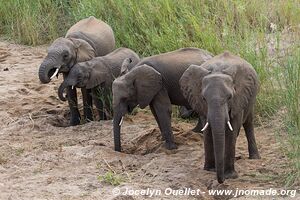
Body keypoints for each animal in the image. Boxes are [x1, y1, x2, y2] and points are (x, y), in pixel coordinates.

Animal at [180, 51, 260, 183]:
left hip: (250, 98)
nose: (220, 180)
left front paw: (230, 176)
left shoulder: (238, 99)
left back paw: (255, 158)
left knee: (248, 123)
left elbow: (232, 131)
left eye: (230, 97)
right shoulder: (202, 106)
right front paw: (209, 170)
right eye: (204, 98)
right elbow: (207, 131)